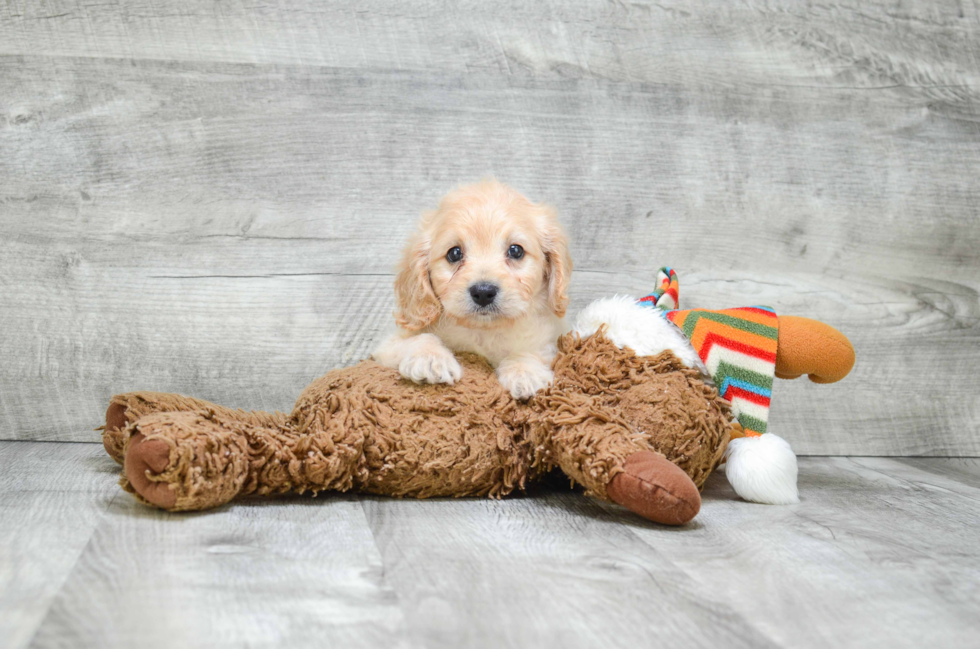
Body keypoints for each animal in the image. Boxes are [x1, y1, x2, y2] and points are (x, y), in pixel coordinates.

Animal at [376, 180, 576, 398]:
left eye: (516, 250)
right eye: (454, 253)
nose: (483, 292)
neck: (483, 331)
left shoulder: (550, 339)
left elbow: (532, 350)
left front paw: (525, 371)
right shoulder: (386, 345)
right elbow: (420, 338)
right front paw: (430, 358)